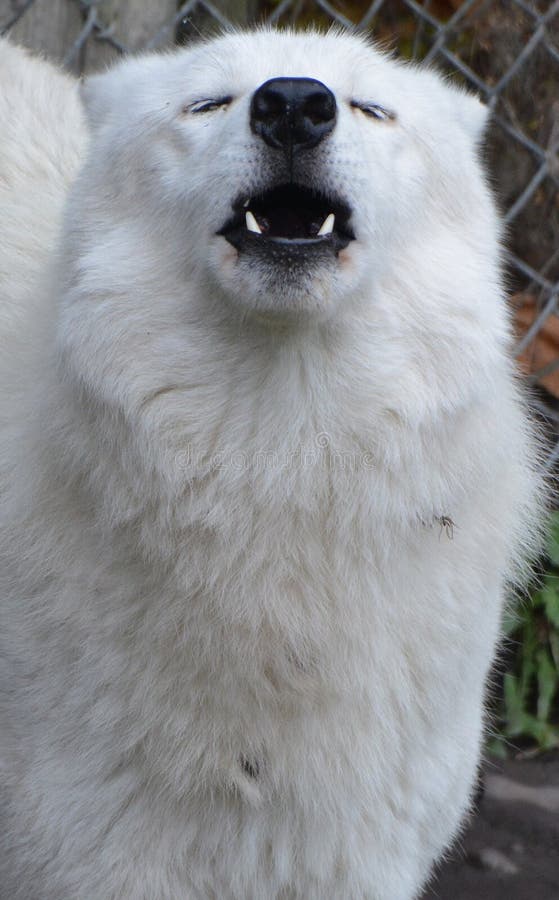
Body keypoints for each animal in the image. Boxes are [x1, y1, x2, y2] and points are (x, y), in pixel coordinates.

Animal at [0, 28, 544, 900]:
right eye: (208, 103)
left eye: (370, 109)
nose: (293, 103)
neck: (279, 465)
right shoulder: (90, 861)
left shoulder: (356, 858)